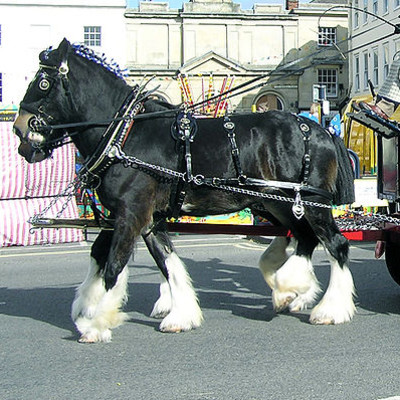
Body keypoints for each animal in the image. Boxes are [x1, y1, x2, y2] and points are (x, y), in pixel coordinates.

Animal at [14, 39, 354, 342]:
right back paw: (290, 290)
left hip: (310, 202)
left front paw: (96, 324)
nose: (19, 130)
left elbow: (113, 265)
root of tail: (323, 129)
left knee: (335, 245)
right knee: (305, 238)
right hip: (276, 204)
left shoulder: (131, 214)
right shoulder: (143, 218)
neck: (126, 135)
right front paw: (179, 314)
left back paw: (329, 308)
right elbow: (161, 263)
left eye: (42, 83)